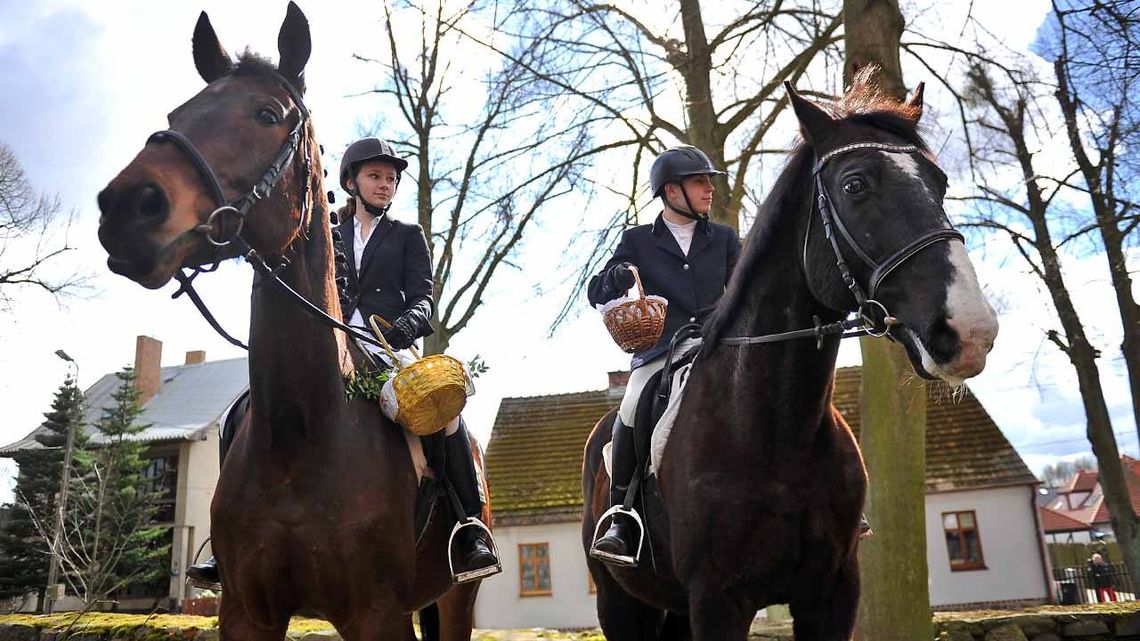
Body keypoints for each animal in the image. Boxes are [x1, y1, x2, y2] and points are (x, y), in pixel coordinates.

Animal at [96, 3, 485, 634]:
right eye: (178, 113)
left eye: (267, 114)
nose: (128, 207)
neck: (301, 435)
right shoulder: (245, 613)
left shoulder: (377, 616)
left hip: (456, 599)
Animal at [583, 75, 1003, 638]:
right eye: (855, 185)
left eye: (939, 183)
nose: (970, 330)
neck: (778, 431)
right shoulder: (716, 599)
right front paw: (617, 277)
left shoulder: (834, 593)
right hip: (622, 601)